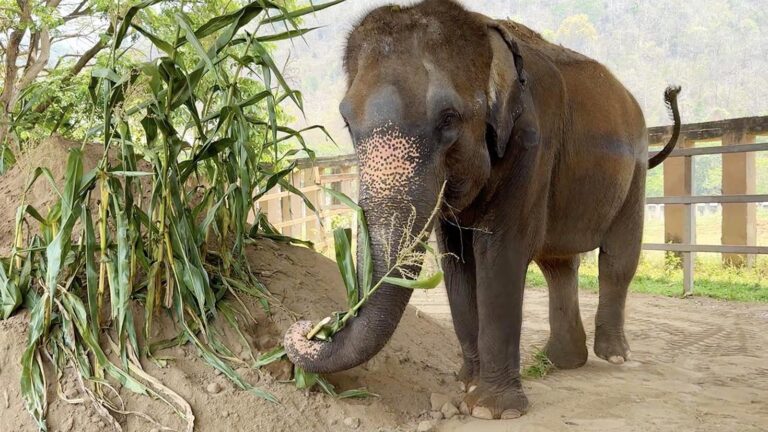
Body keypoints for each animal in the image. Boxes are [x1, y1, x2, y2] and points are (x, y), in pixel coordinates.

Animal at [285, 0, 681, 420]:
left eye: (448, 119)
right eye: (347, 122)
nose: (315, 326)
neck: (484, 29)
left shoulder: (530, 143)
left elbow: (499, 253)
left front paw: (491, 410)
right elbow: (458, 261)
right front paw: (466, 384)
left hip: (635, 168)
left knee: (617, 259)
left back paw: (614, 356)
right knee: (559, 265)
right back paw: (561, 361)